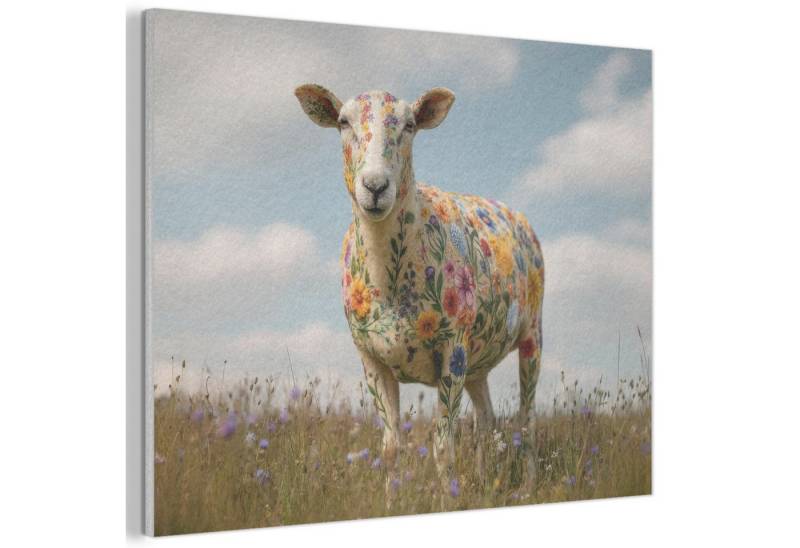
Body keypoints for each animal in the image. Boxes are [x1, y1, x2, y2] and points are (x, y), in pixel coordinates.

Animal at [295, 85, 544, 490]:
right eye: (343, 122)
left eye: (410, 125)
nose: (376, 186)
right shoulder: (372, 358)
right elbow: (390, 448)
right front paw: (393, 497)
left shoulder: (452, 347)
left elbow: (443, 448)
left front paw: (447, 496)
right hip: (476, 360)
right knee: (486, 419)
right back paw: (483, 482)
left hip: (530, 333)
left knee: (527, 419)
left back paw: (528, 485)